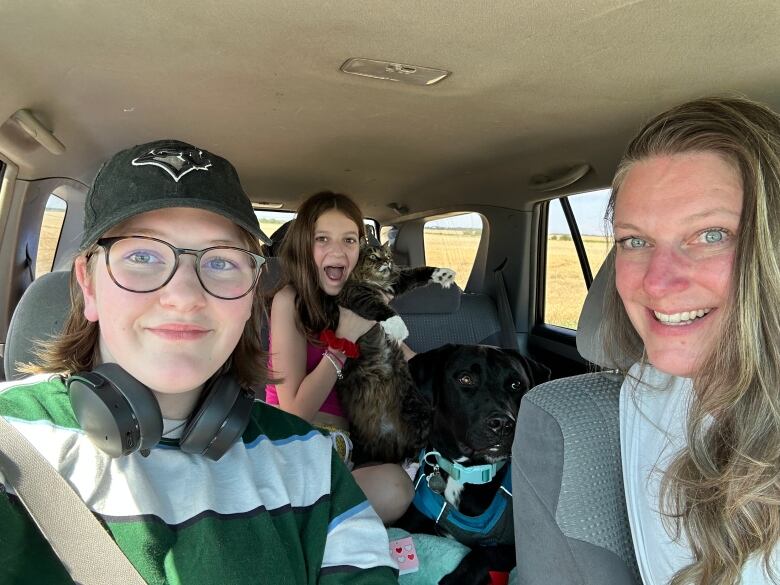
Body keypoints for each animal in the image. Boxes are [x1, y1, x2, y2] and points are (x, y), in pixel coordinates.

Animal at [330, 241, 454, 460]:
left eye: (387, 255)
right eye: (373, 256)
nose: (386, 262)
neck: (374, 281)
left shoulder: (398, 280)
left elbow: (419, 272)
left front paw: (443, 274)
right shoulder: (355, 293)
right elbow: (378, 307)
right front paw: (398, 326)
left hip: (414, 403)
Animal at [396, 342, 548, 584]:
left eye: (516, 384)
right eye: (465, 379)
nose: (503, 424)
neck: (466, 472)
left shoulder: (515, 546)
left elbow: (485, 553)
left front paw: (457, 579)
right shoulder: (411, 522)